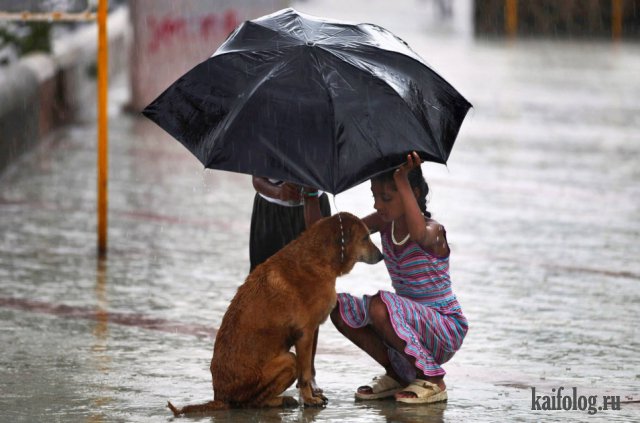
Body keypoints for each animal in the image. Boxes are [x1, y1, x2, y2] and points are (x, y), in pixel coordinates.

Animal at [168, 214, 382, 416]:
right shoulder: (305, 334)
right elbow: (305, 375)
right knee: (251, 402)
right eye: (365, 238)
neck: (318, 257)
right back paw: (280, 400)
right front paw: (309, 399)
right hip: (288, 361)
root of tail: (219, 397)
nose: (381, 255)